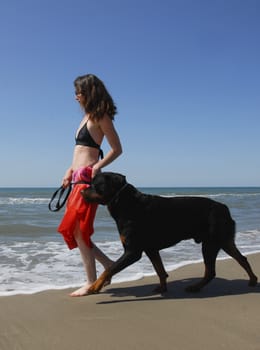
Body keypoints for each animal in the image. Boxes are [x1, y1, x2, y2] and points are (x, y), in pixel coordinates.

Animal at [82, 171, 258, 294]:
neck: (126, 203)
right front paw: (162, 287)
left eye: (95, 184)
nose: (82, 191)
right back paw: (253, 280)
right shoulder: (151, 249)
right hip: (224, 240)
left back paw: (195, 287)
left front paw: (94, 287)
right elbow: (160, 270)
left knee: (211, 271)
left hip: (211, 242)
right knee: (241, 258)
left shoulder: (133, 251)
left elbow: (109, 269)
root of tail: (224, 208)